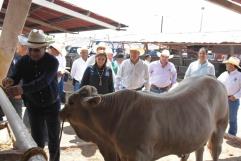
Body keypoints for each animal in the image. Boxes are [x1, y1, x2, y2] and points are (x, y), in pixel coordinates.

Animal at [59, 76, 228, 161]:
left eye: (71, 102)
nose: (60, 112)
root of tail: (214, 80)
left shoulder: (140, 155)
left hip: (220, 128)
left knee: (215, 151)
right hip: (199, 134)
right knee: (199, 150)